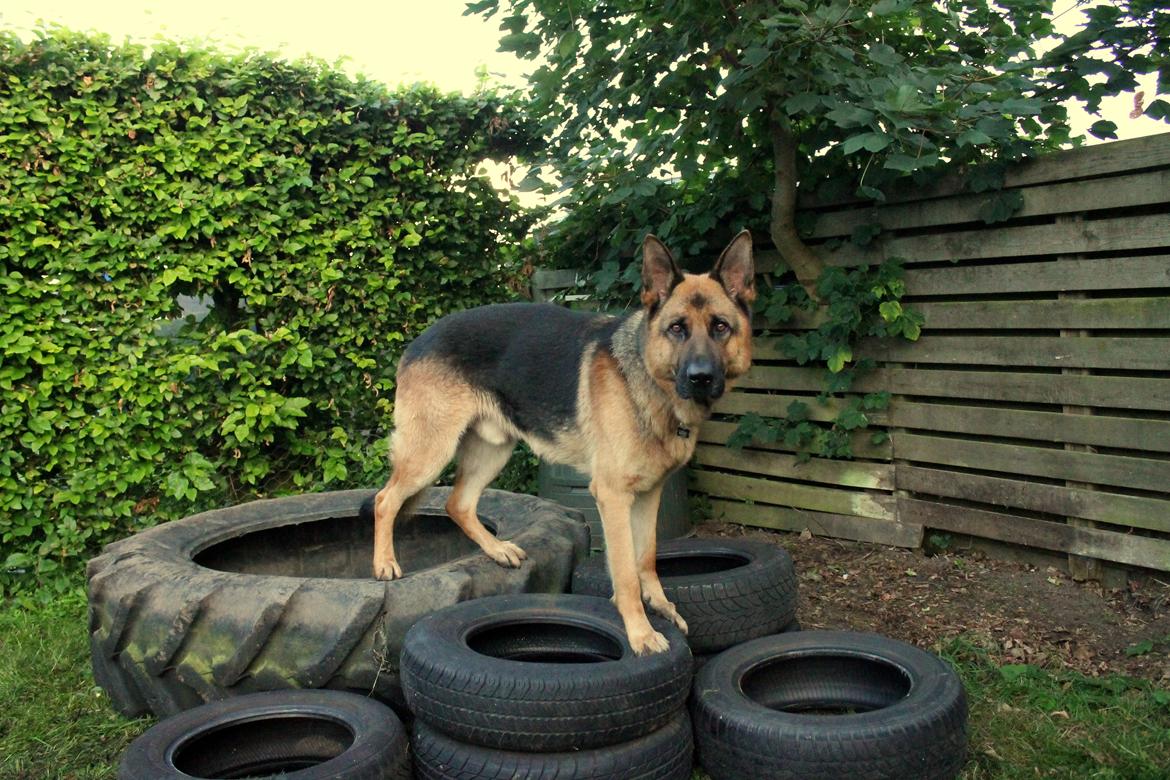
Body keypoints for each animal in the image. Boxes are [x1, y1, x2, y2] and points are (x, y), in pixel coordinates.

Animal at [374, 230, 758, 654]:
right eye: (677, 328)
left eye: (720, 327)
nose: (700, 377)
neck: (647, 381)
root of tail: (418, 339)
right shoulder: (612, 496)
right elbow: (625, 571)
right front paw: (640, 632)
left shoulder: (649, 493)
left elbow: (647, 558)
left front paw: (659, 605)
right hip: (430, 453)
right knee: (385, 499)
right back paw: (384, 564)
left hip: (493, 451)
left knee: (458, 504)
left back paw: (498, 550)